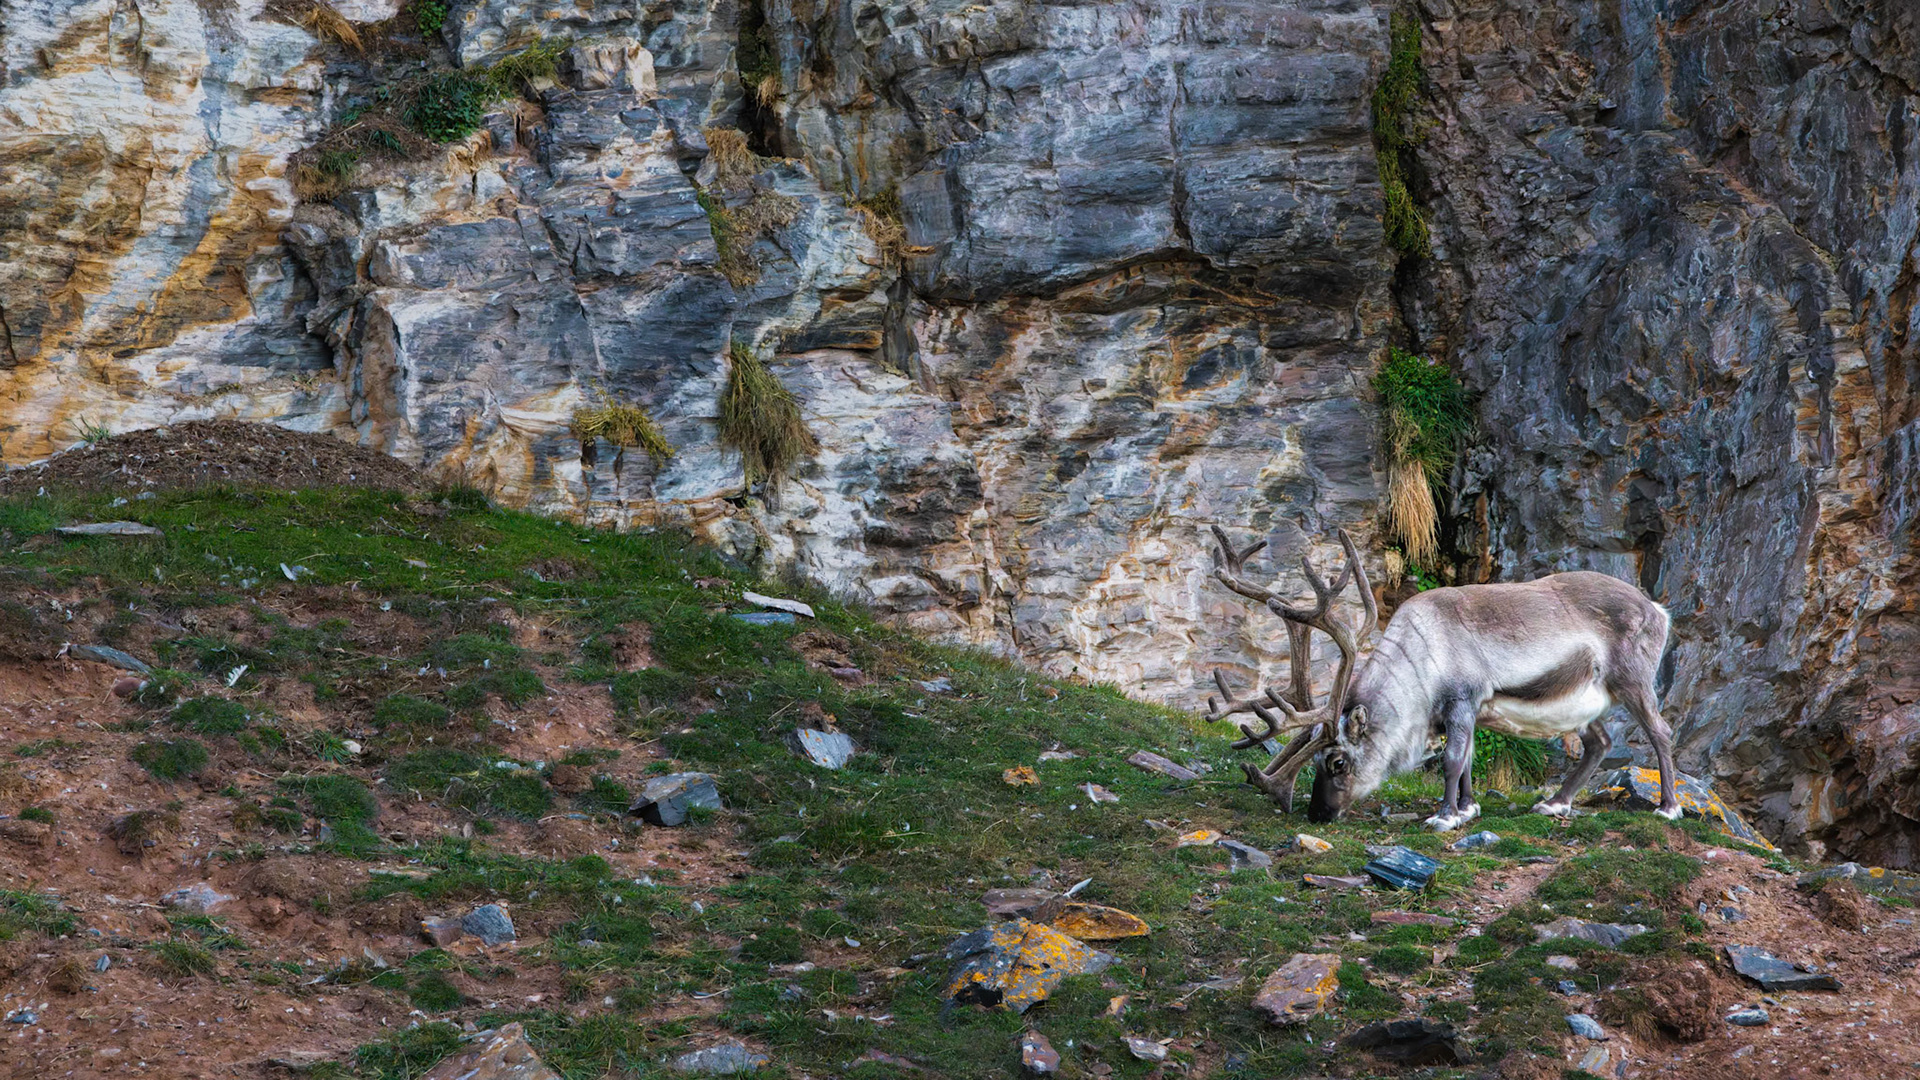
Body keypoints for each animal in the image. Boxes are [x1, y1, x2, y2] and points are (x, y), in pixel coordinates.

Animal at [1202, 525, 1681, 830]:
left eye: (1337, 761)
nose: (1318, 814)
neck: (1419, 664)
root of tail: (1658, 609)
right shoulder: (1466, 714)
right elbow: (1466, 760)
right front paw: (1467, 809)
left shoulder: (1463, 700)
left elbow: (1452, 761)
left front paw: (1444, 816)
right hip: (1585, 703)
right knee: (1600, 742)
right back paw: (1554, 803)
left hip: (1632, 680)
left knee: (1660, 731)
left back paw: (1668, 807)